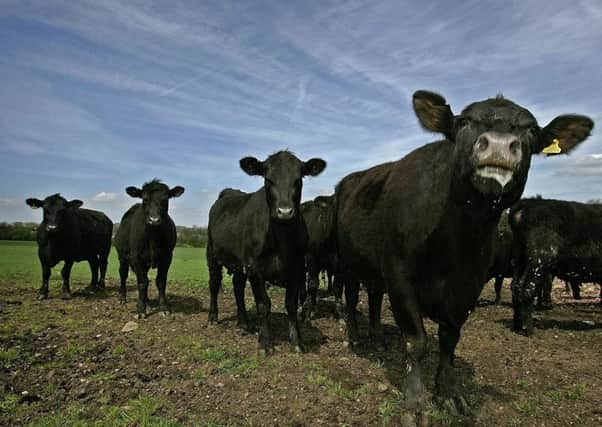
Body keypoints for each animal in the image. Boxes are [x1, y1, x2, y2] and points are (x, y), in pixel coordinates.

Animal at [114, 180, 184, 318]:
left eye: (165, 199)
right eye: (145, 199)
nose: (154, 220)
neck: (153, 238)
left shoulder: (167, 256)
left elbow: (160, 281)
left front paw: (163, 307)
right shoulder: (137, 257)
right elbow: (142, 282)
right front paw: (141, 310)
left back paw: (146, 300)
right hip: (122, 258)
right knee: (123, 275)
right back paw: (123, 298)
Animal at [209, 150, 326, 354]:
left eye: (298, 179)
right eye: (268, 179)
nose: (285, 211)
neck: (281, 239)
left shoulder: (297, 267)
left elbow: (291, 305)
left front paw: (297, 341)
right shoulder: (255, 267)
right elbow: (263, 304)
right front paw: (265, 342)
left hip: (240, 264)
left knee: (238, 288)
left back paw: (244, 321)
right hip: (212, 254)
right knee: (214, 284)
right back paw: (213, 316)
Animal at [508, 199, 600, 336]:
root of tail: (528, 203)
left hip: (519, 261)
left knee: (516, 288)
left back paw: (518, 326)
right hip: (539, 261)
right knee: (527, 289)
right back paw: (529, 330)